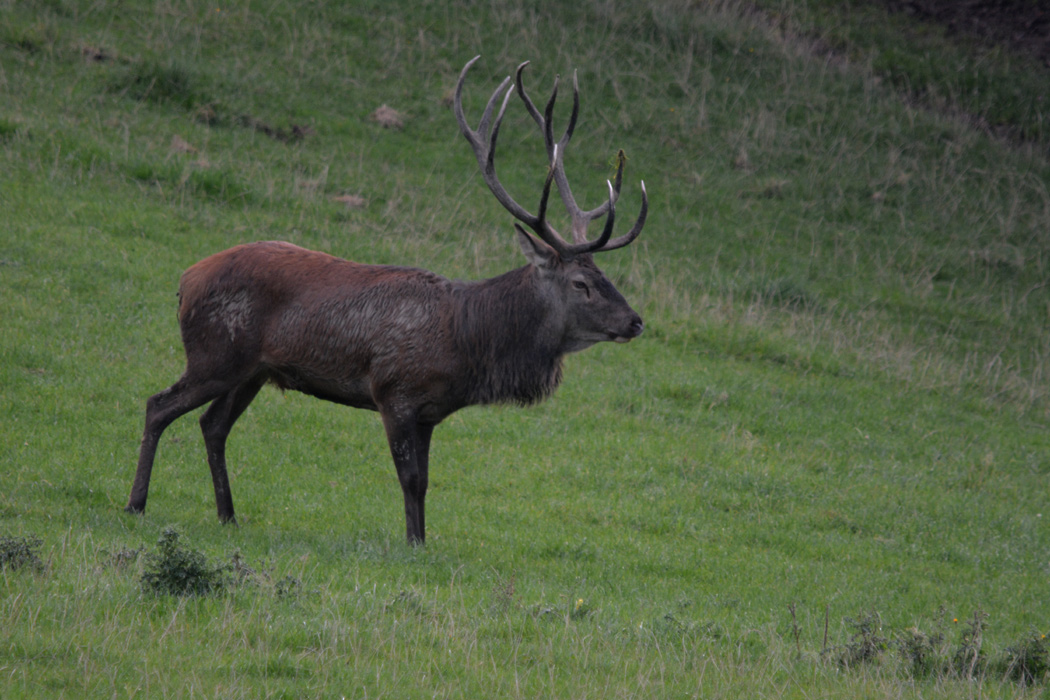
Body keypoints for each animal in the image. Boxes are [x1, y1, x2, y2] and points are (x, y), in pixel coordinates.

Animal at [122, 56, 646, 545]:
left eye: (605, 276)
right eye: (580, 283)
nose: (636, 321)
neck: (465, 343)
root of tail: (186, 279)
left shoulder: (430, 412)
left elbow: (426, 482)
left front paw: (423, 541)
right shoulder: (394, 391)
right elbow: (409, 480)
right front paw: (413, 544)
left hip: (251, 371)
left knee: (212, 425)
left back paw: (228, 516)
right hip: (215, 354)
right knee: (158, 405)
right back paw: (136, 504)